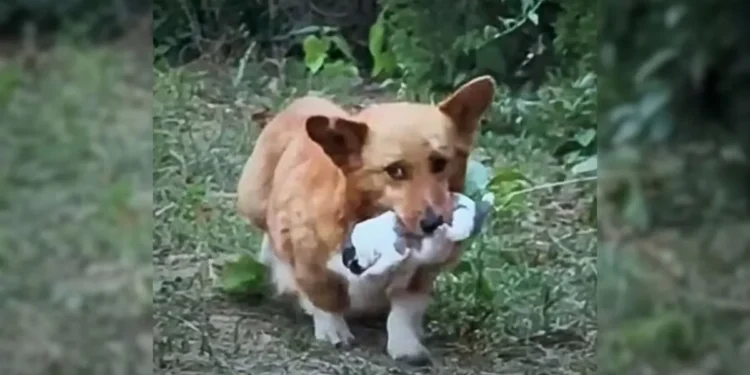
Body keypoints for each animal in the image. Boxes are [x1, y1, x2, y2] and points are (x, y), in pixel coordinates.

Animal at [238, 75, 496, 366]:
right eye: (395, 171)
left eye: (440, 163)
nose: (433, 223)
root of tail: (300, 103)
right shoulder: (309, 259)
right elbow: (324, 297)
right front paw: (333, 330)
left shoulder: (421, 274)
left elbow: (404, 310)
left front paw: (406, 344)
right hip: (252, 200)